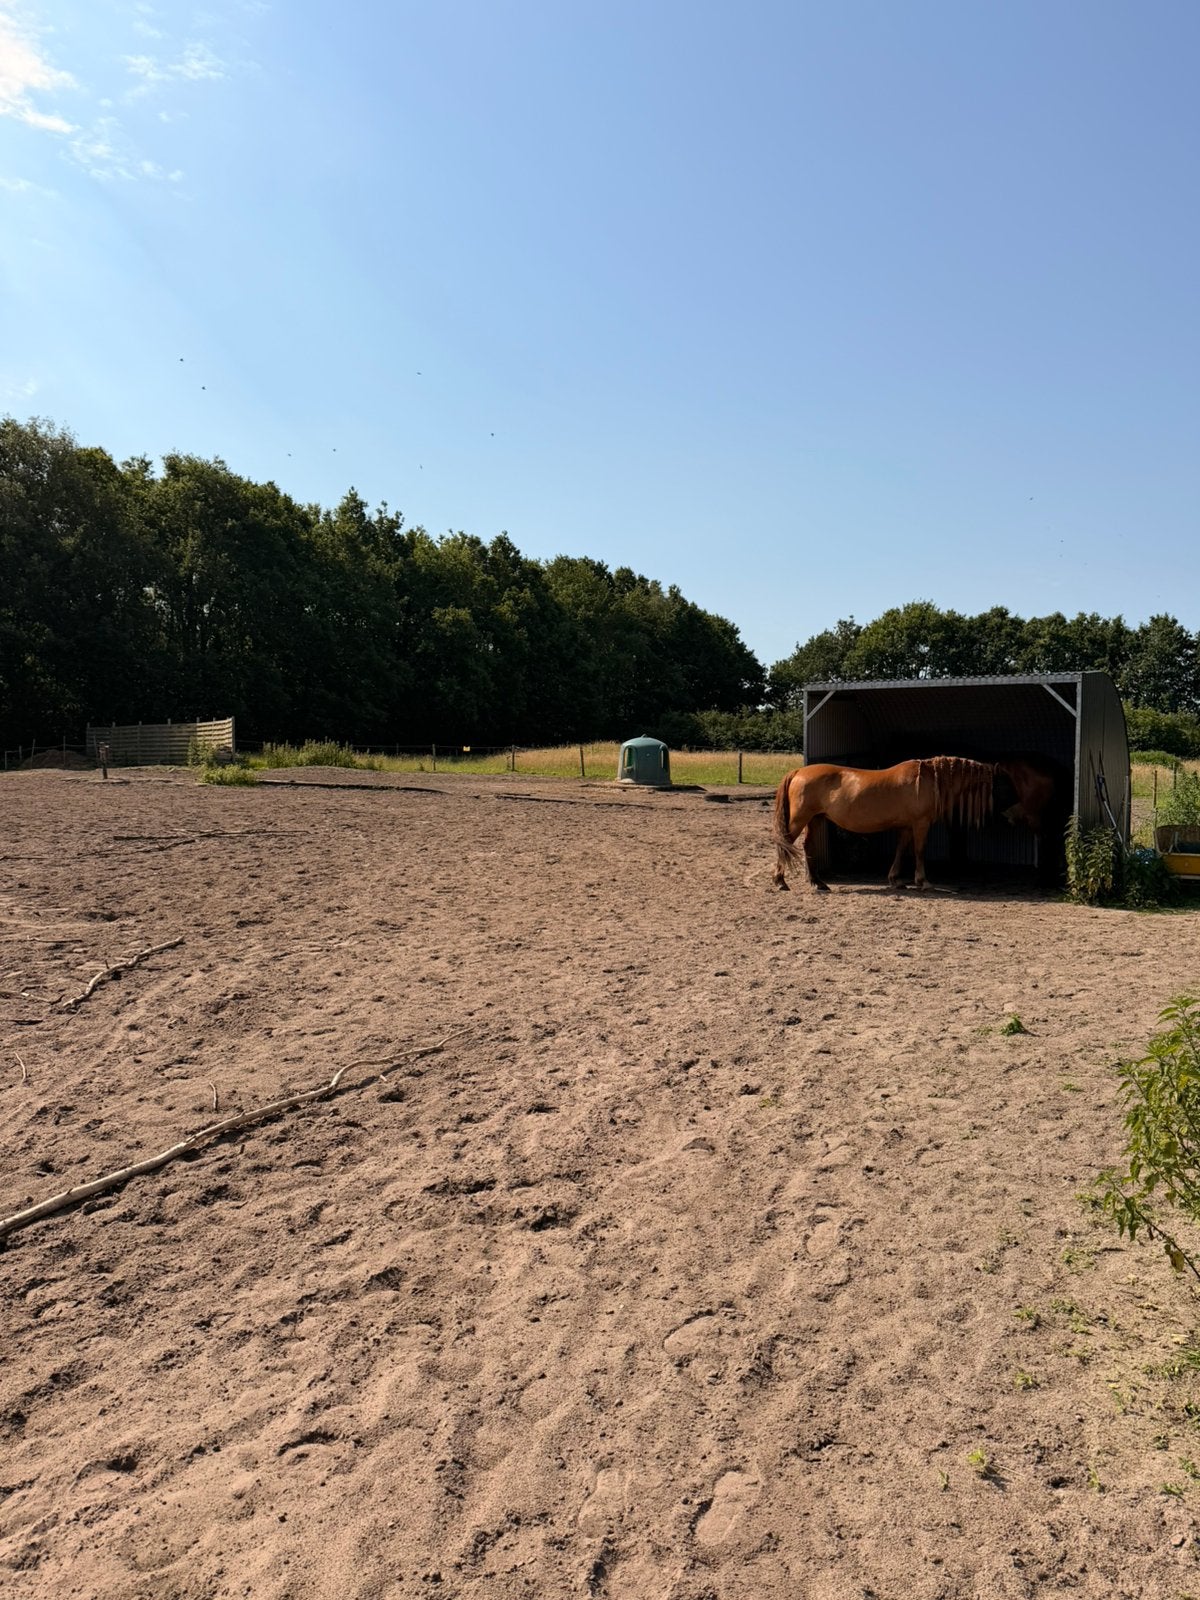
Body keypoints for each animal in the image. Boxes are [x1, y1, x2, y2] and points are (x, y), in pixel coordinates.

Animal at [772, 756, 996, 892]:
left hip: (816, 819)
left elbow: (901, 850)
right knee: (785, 843)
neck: (929, 780)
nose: (993, 813)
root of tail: (798, 771)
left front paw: (895, 879)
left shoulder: (907, 826)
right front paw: (923, 881)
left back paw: (817, 883)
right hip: (800, 819)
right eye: (994, 784)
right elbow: (919, 850)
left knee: (807, 846)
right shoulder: (920, 823)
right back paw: (780, 881)